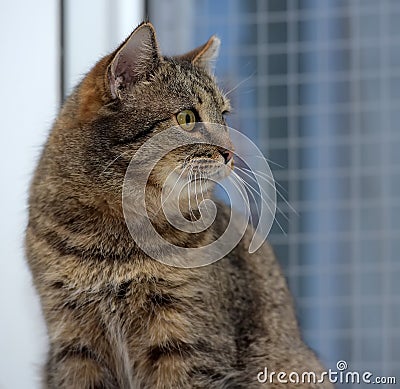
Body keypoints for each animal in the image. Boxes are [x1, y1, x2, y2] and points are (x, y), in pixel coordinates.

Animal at [25, 22, 332, 388]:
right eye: (187, 117)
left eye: (224, 116)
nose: (231, 153)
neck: (113, 242)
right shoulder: (73, 343)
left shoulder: (186, 346)